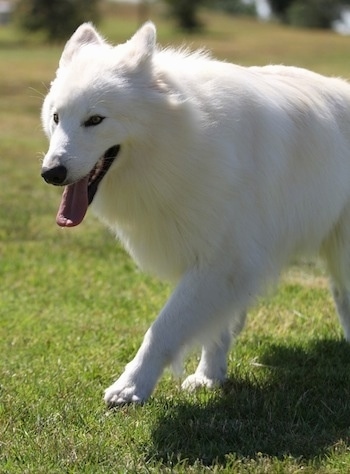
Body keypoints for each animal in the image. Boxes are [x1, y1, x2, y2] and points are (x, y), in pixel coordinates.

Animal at [41, 22, 350, 406]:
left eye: (95, 120)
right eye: (56, 118)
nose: (50, 173)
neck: (179, 141)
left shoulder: (222, 262)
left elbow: (162, 329)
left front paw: (131, 386)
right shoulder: (220, 270)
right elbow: (214, 330)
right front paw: (209, 377)